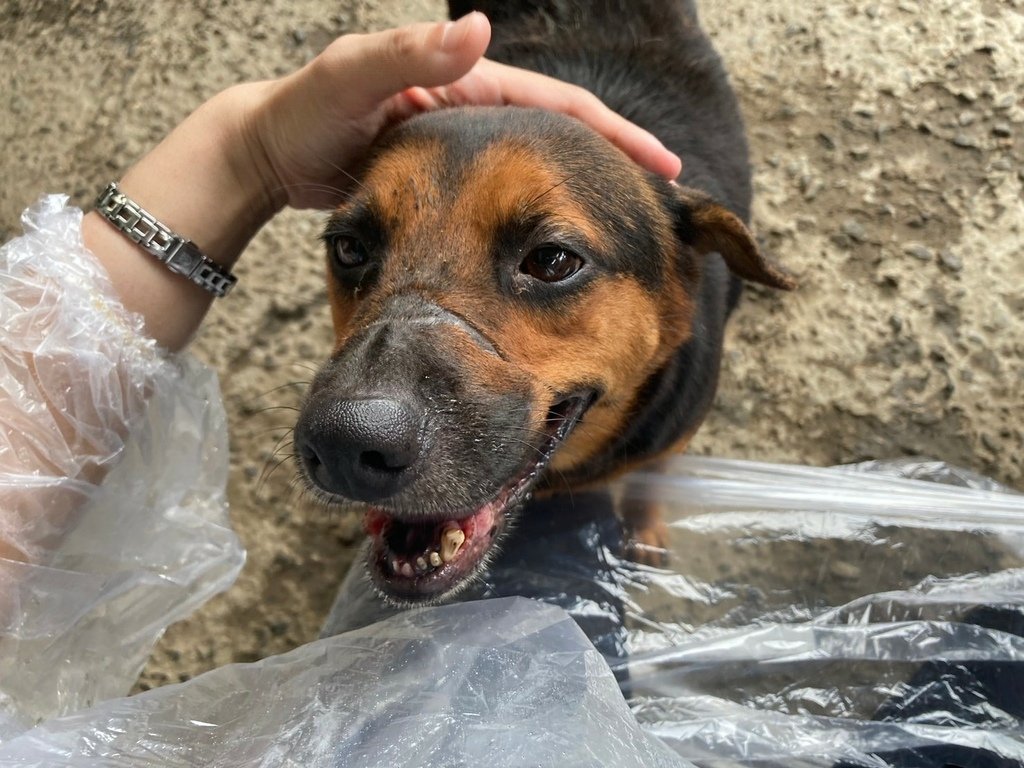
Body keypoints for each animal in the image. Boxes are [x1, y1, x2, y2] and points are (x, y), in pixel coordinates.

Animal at [292, 1, 794, 606]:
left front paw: (645, 533)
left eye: (552, 260)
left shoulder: (670, 444)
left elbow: (649, 489)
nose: (344, 445)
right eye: (349, 248)